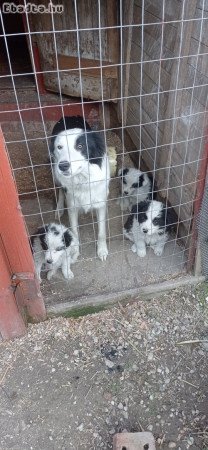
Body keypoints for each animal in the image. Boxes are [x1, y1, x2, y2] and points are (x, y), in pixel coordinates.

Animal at [50, 116, 109, 262]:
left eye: (80, 146)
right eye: (59, 147)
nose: (63, 166)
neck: (83, 179)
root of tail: (69, 116)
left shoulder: (101, 204)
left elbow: (101, 231)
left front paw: (102, 250)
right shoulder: (72, 207)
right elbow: (74, 232)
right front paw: (74, 251)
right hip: (55, 172)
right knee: (60, 190)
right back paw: (59, 208)